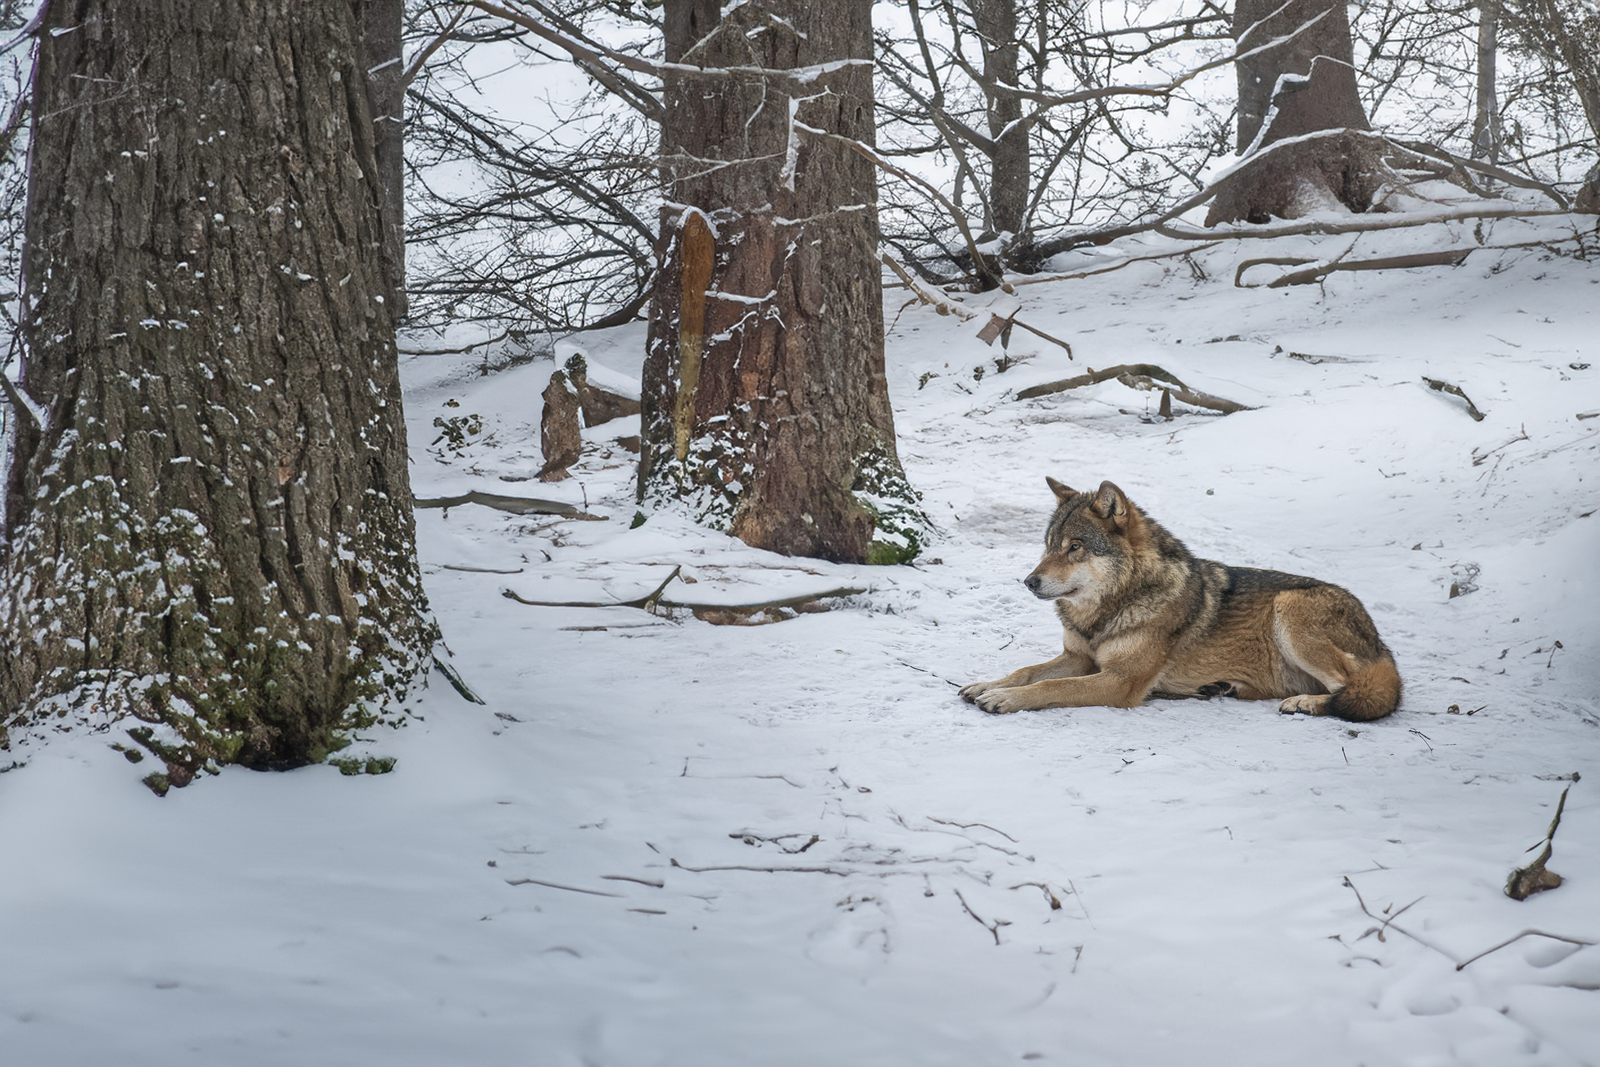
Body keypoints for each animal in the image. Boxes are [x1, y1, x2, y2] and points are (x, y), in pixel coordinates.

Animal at [959, 479, 1401, 721]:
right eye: (1049, 546)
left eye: (1076, 547)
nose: (1029, 582)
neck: (1106, 612)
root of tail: (1383, 645)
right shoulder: (1077, 658)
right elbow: (1026, 671)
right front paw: (986, 684)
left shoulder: (1120, 681)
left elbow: (1050, 687)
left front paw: (1002, 698)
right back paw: (1223, 688)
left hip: (1290, 608)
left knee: (1361, 693)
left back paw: (1306, 703)